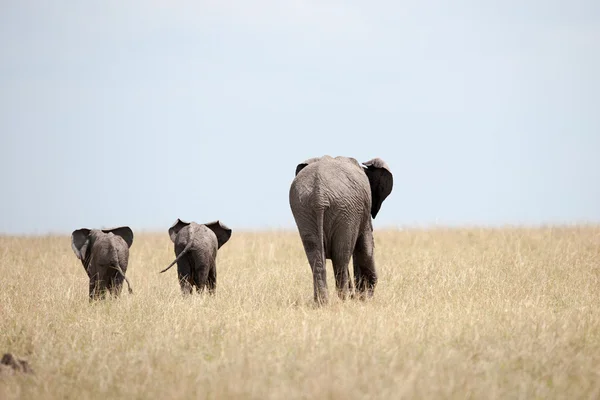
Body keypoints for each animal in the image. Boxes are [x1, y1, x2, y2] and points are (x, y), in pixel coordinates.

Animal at [288, 155, 392, 304]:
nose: (361, 296)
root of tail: (319, 195)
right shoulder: (363, 210)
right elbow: (366, 247)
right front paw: (363, 297)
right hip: (345, 210)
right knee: (341, 257)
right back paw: (344, 300)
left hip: (304, 209)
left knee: (315, 257)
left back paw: (322, 303)